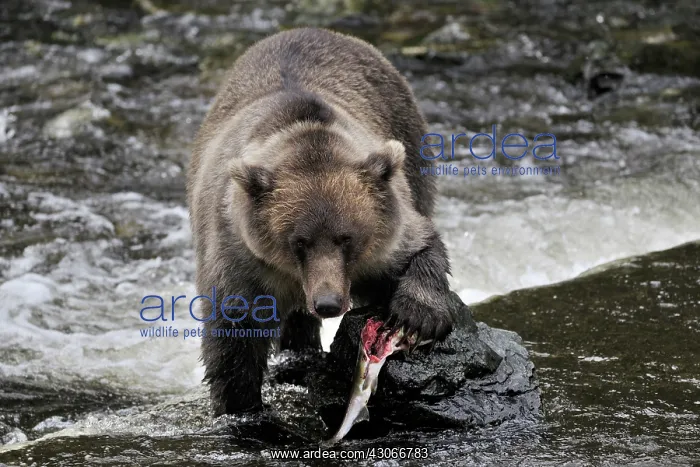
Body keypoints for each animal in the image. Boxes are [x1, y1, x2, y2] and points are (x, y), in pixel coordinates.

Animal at [186, 27, 453, 416]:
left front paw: (416, 316)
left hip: (409, 139)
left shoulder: (383, 238)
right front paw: (240, 404)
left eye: (347, 238)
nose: (328, 303)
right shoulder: (240, 254)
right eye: (299, 241)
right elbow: (234, 337)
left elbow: (422, 245)